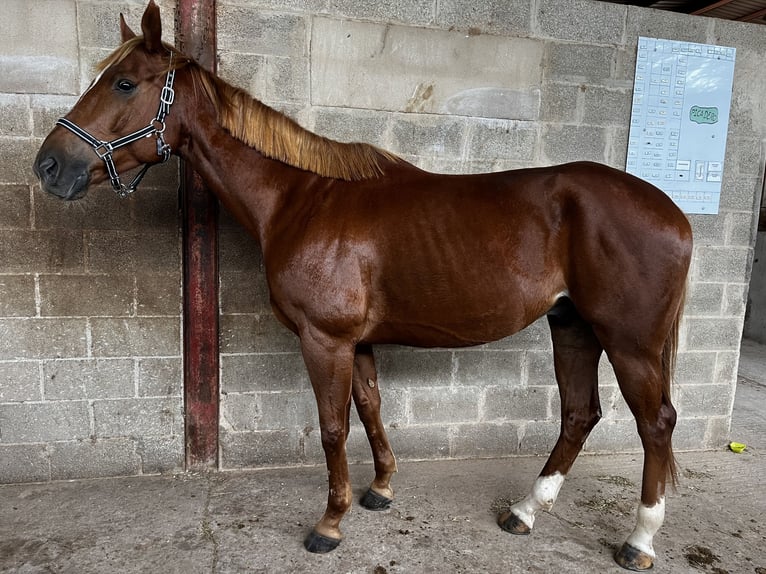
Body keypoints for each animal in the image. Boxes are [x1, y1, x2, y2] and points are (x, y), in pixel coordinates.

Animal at [34, 3, 696, 572]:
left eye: (125, 84)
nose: (50, 167)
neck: (300, 200)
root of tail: (673, 212)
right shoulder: (358, 341)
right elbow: (372, 406)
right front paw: (380, 489)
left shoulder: (324, 339)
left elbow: (333, 426)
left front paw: (330, 523)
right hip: (574, 327)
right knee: (580, 414)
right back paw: (525, 512)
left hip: (629, 343)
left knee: (656, 423)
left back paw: (639, 541)